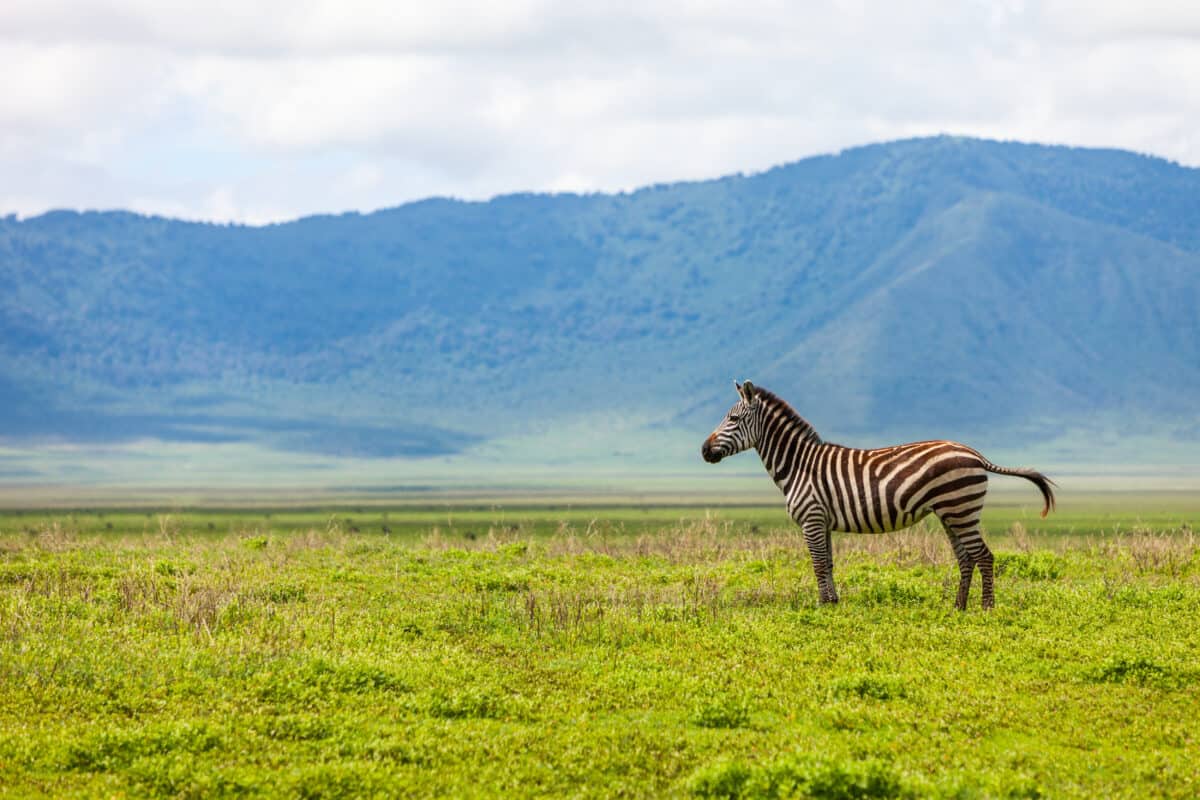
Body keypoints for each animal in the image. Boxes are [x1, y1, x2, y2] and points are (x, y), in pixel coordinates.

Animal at [700, 381, 1056, 606]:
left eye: (733, 418)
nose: (704, 450)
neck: (799, 464)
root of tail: (976, 454)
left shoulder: (811, 519)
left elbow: (818, 564)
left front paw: (822, 606)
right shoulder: (823, 521)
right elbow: (829, 563)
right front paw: (834, 602)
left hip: (961, 509)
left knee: (984, 555)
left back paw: (985, 608)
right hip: (952, 513)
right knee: (966, 557)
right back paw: (959, 606)